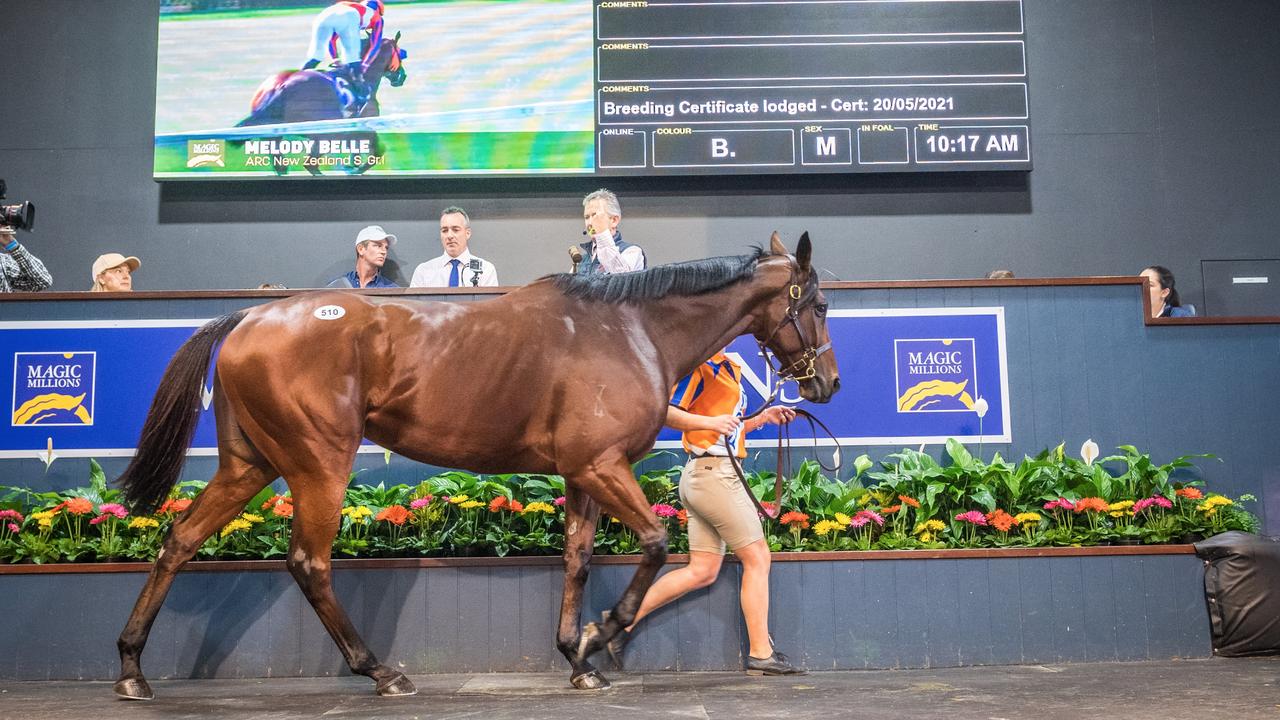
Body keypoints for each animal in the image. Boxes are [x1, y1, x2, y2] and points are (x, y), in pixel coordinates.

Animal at [112, 233, 839, 696]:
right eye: (820, 304)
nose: (826, 383)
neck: (628, 330)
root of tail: (250, 317)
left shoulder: (582, 473)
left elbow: (577, 559)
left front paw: (578, 658)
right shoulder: (602, 466)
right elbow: (658, 544)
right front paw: (600, 634)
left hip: (250, 464)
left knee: (179, 540)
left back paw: (131, 669)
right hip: (319, 464)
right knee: (308, 563)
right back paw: (380, 671)